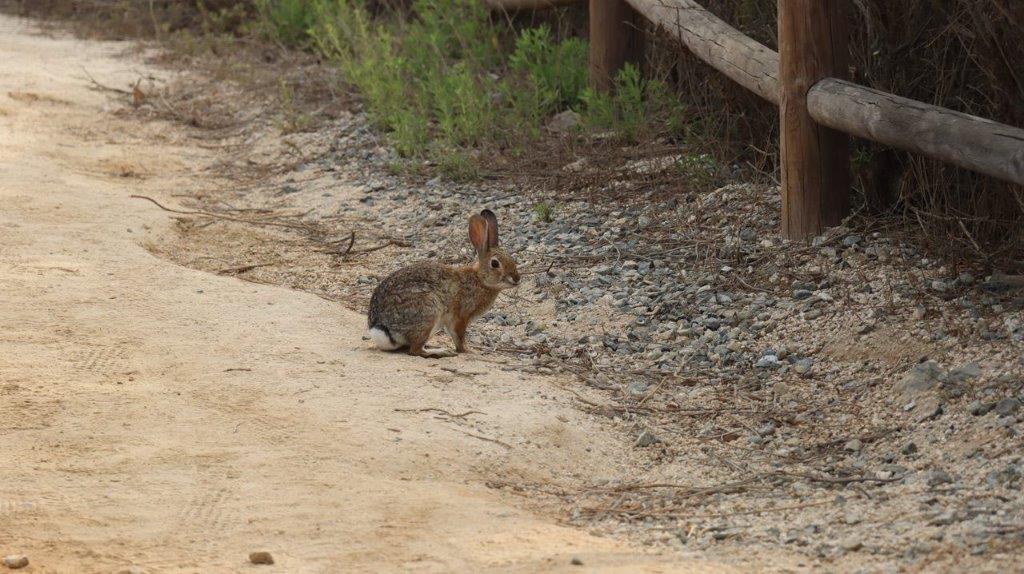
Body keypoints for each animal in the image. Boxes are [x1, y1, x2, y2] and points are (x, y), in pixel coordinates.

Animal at [366, 207, 520, 356]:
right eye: (495, 264)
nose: (517, 279)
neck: (480, 280)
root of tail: (382, 327)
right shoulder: (461, 316)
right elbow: (459, 336)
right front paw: (468, 350)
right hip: (428, 312)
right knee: (415, 350)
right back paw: (441, 351)